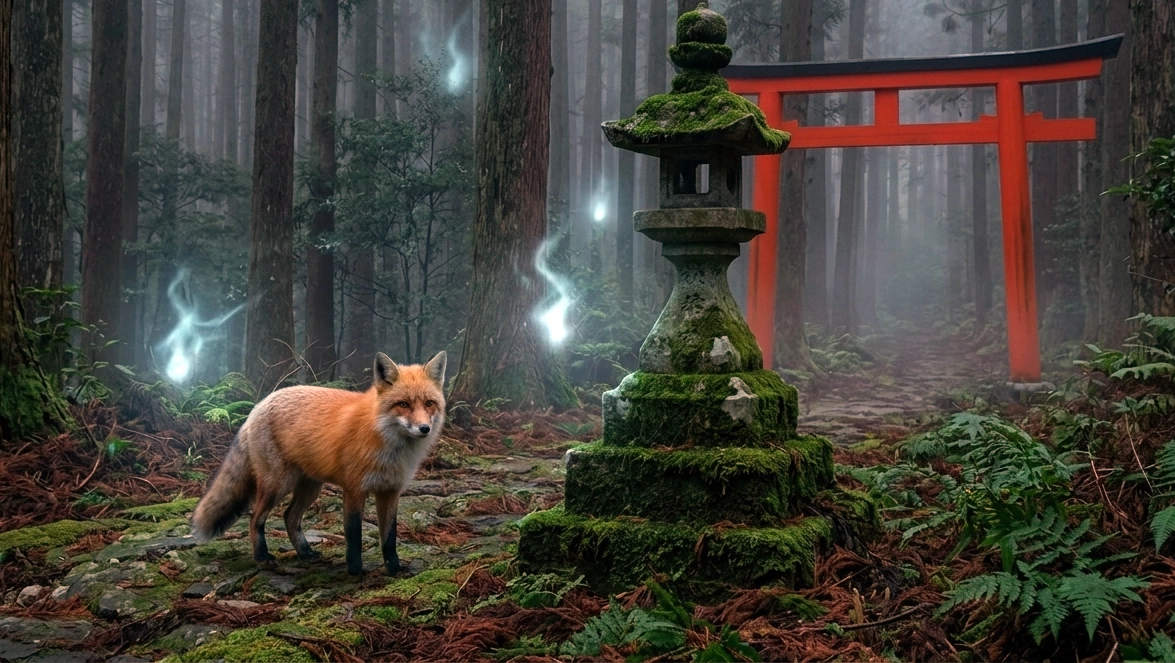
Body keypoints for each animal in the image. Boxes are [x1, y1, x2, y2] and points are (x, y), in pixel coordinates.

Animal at [191, 351, 446, 576]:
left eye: (429, 403)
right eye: (403, 404)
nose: (424, 428)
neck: (388, 446)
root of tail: (259, 405)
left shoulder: (390, 491)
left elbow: (390, 538)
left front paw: (394, 570)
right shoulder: (354, 489)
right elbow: (354, 535)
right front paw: (355, 571)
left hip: (310, 488)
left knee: (289, 517)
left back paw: (305, 552)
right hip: (278, 485)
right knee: (255, 519)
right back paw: (263, 557)